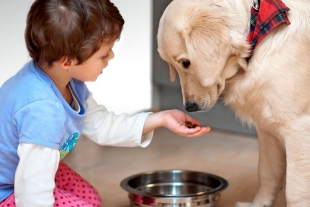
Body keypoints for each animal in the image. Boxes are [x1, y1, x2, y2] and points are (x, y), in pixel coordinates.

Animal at [157, 0, 310, 205]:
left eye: (186, 62)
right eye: (173, 65)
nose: (190, 107)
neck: (260, 33)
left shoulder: (298, 128)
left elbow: (296, 191)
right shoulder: (267, 126)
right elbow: (267, 173)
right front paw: (259, 204)